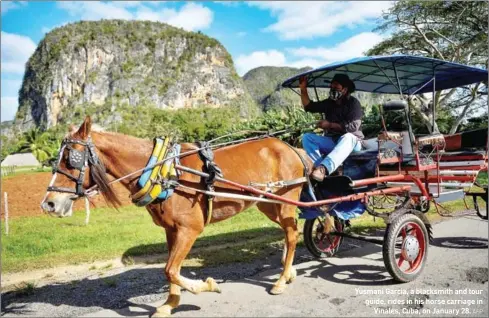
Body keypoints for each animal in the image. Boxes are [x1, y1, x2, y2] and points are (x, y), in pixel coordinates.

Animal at [41, 117, 312, 318]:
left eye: (71, 159)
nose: (49, 204)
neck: (163, 172)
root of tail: (290, 148)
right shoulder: (171, 230)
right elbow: (171, 269)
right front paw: (170, 303)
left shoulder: (189, 229)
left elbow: (171, 269)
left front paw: (206, 285)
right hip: (269, 204)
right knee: (290, 232)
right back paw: (288, 272)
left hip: (285, 201)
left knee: (291, 233)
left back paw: (280, 279)